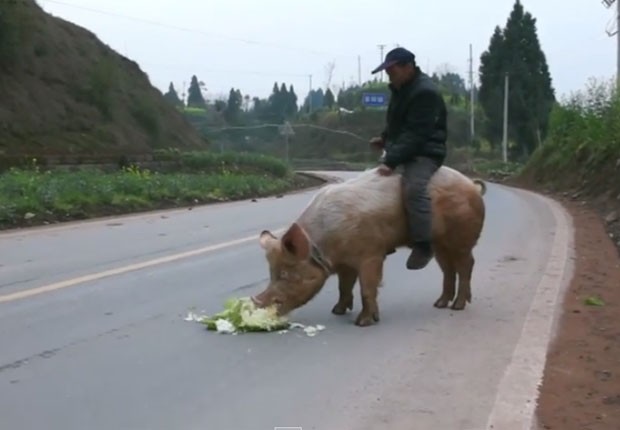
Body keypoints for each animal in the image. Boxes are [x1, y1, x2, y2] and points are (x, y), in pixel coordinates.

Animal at [252, 165, 484, 326]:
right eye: (271, 273)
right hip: (439, 244)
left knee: (466, 264)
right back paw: (440, 304)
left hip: (462, 237)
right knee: (448, 269)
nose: (256, 302)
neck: (322, 248)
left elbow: (367, 287)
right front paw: (337, 311)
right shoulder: (345, 263)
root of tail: (473, 185)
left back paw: (458, 306)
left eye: (284, 274)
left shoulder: (371, 254)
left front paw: (363, 322)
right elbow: (344, 286)